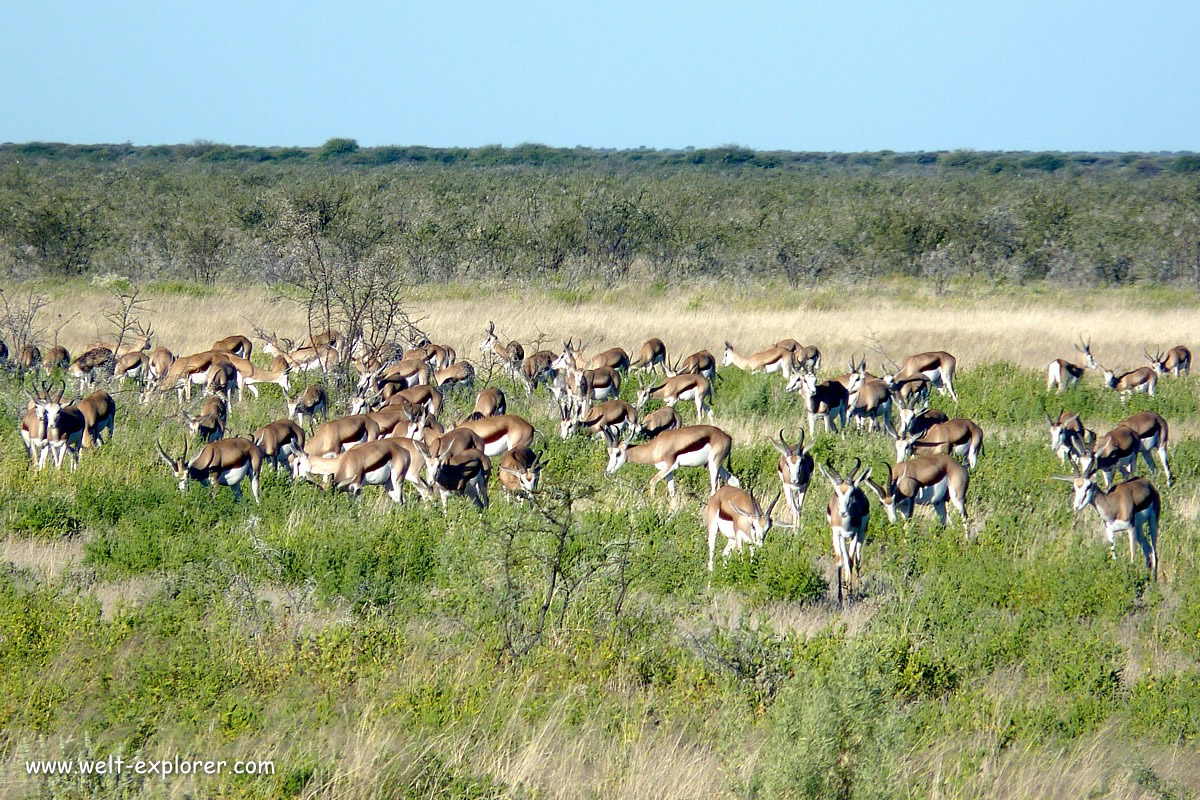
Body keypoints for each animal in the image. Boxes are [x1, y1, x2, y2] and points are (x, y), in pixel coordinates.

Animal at [604, 422, 734, 496]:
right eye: (609, 453)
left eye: (618, 453)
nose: (607, 471)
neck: (656, 446)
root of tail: (727, 437)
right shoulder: (669, 471)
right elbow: (672, 492)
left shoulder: (670, 466)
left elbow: (652, 482)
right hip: (713, 465)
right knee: (733, 481)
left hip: (713, 465)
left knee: (715, 489)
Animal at [816, 460, 873, 604]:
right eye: (836, 493)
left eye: (851, 493)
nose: (843, 512)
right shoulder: (836, 534)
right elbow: (840, 560)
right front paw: (840, 598)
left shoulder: (855, 534)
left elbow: (851, 561)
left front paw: (850, 596)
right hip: (843, 538)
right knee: (845, 558)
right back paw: (846, 586)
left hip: (862, 533)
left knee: (856, 559)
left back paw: (855, 590)